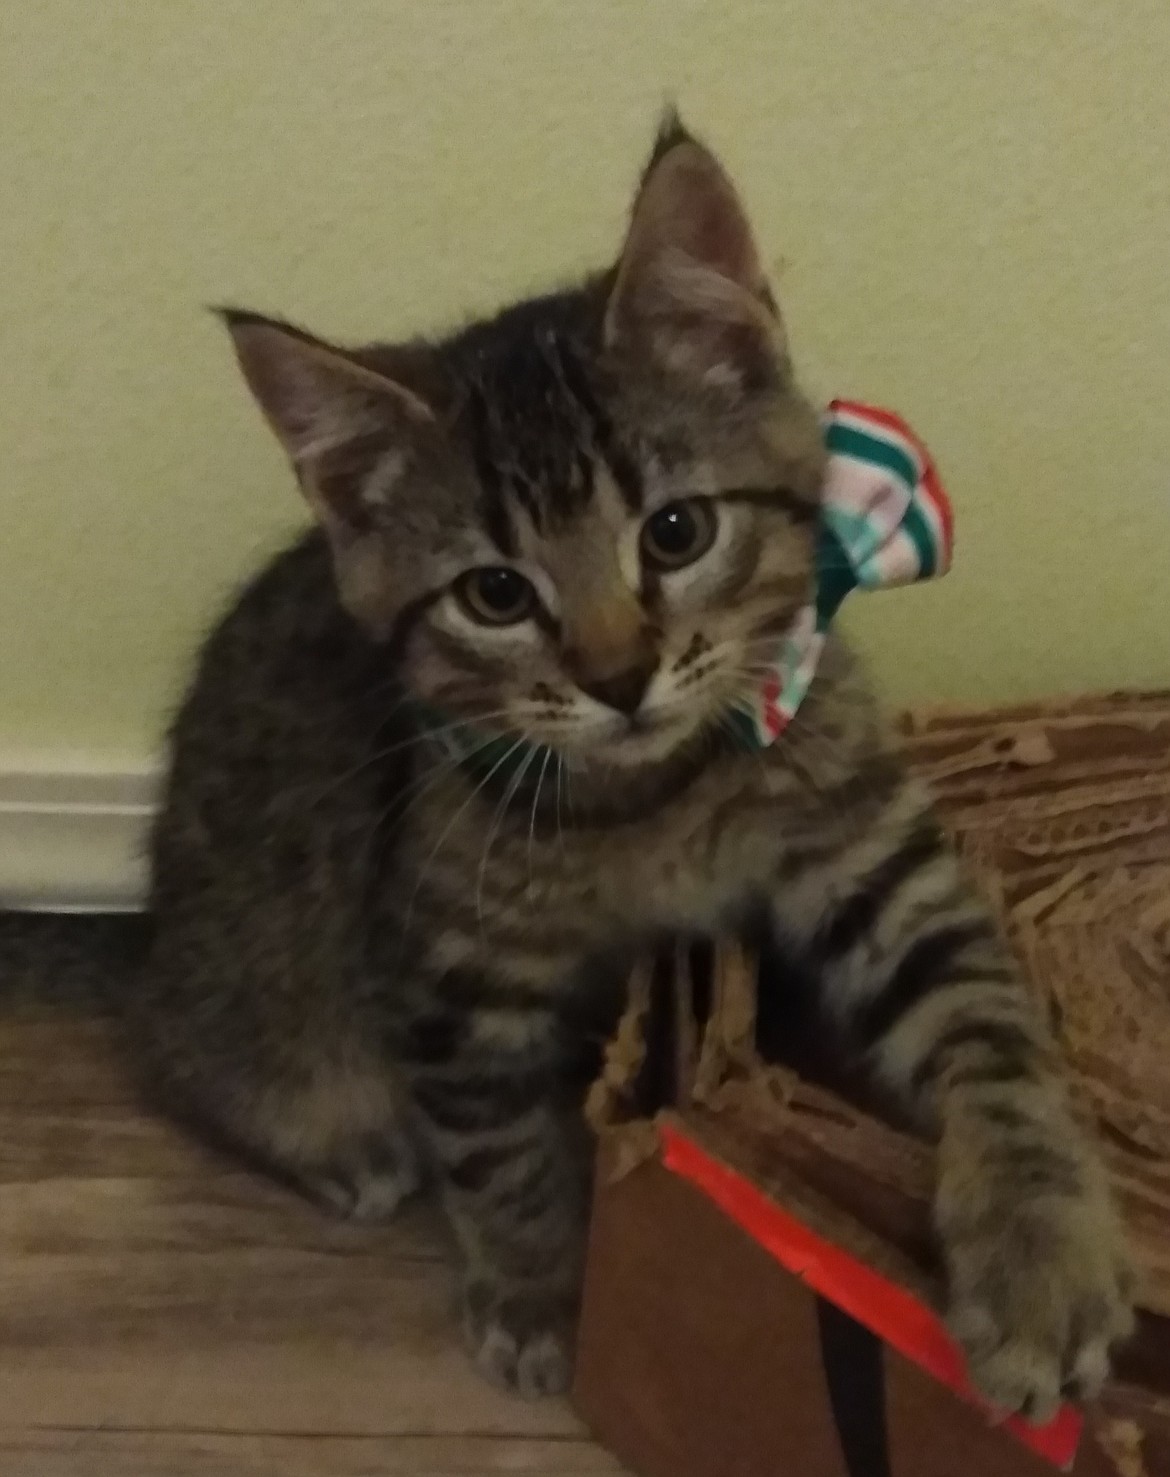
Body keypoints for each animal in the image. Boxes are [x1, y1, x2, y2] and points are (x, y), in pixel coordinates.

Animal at [139, 118, 1134, 1406]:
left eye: (676, 531)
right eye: (495, 595)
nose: (618, 678)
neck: (661, 800)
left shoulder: (874, 851)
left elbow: (989, 1019)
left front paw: (1039, 1249)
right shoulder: (447, 974)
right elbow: (501, 1154)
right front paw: (541, 1294)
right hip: (261, 988)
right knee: (210, 1058)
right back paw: (345, 1147)